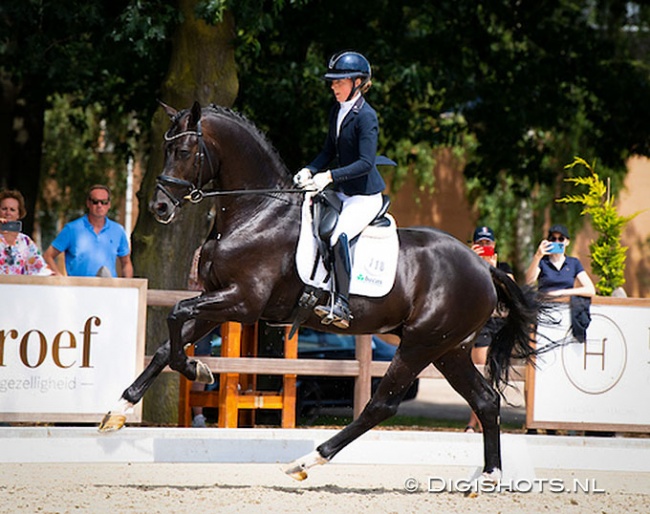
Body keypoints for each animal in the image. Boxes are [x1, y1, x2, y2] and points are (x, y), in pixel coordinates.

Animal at [98, 101, 536, 480]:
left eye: (186, 151)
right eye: (165, 149)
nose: (159, 208)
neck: (255, 212)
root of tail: (483, 267)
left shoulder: (241, 302)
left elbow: (176, 315)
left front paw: (195, 368)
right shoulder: (220, 299)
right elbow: (166, 343)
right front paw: (119, 410)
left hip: (421, 343)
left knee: (382, 404)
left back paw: (307, 460)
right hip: (450, 348)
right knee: (485, 400)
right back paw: (490, 476)